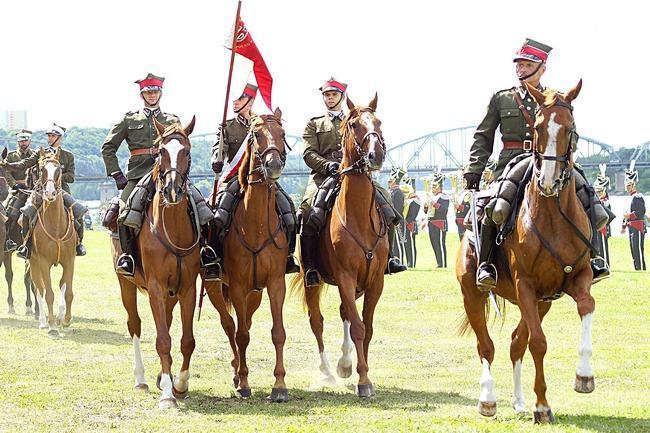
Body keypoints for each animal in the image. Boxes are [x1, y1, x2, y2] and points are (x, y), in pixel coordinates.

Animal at [29, 148, 78, 338]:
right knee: (39, 289)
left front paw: (64, 319)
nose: (50, 194)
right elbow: (48, 293)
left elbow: (68, 290)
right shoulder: (43, 262)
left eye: (59, 170)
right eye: (41, 169)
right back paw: (43, 321)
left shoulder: (70, 261)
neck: (55, 225)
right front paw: (52, 326)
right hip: (33, 262)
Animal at [111, 118, 199, 408]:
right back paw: (141, 378)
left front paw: (179, 383)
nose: (172, 190)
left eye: (187, 151)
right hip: (126, 285)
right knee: (135, 324)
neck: (172, 227)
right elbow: (162, 340)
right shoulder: (156, 287)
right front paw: (169, 396)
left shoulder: (187, 288)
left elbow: (186, 340)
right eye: (161, 151)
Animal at [205, 109, 288, 400]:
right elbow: (240, 335)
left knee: (246, 322)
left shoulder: (275, 284)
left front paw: (280, 386)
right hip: (215, 286)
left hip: (255, 293)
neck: (257, 224)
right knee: (230, 324)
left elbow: (277, 333)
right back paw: (235, 370)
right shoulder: (238, 286)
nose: (273, 165)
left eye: (282, 133)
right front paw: (243, 382)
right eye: (256, 134)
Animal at [292, 95, 388, 398]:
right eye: (355, 124)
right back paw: (326, 371)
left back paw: (344, 364)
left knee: (344, 312)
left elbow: (366, 327)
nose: (376, 155)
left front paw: (359, 369)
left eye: (378, 121)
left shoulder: (375, 281)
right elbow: (357, 327)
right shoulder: (345, 277)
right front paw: (364, 381)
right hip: (313, 280)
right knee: (317, 321)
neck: (357, 217)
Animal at [456, 81, 592, 422]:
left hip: (542, 302)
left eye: (570, 128)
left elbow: (586, 306)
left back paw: (518, 401)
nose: (547, 181)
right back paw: (488, 400)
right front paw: (542, 405)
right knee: (486, 346)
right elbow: (539, 344)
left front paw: (584, 376)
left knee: (516, 342)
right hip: (473, 295)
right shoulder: (526, 285)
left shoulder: (577, 278)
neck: (553, 216)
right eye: (539, 126)